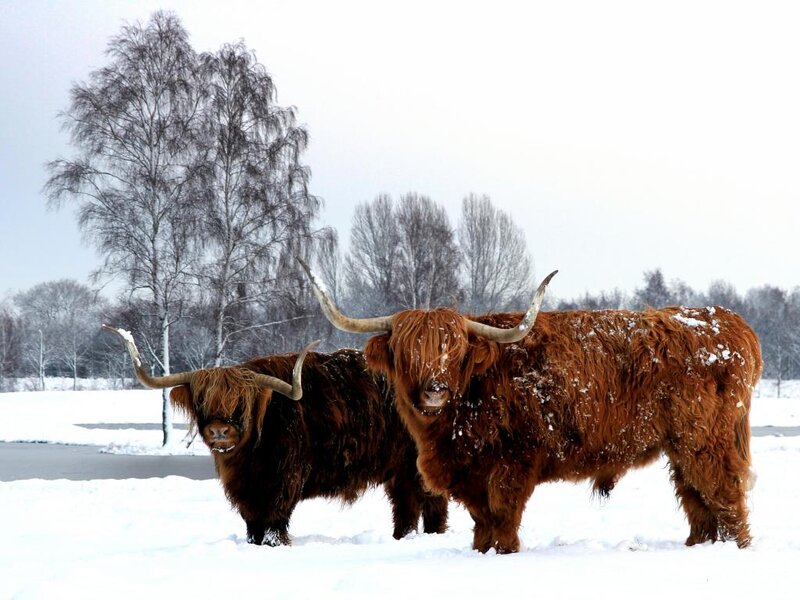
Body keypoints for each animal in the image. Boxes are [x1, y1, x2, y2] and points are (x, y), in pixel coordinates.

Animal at [102, 325, 448, 546]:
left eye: (241, 402)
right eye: (202, 400)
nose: (219, 431)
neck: (249, 456)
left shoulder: (284, 479)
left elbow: (274, 520)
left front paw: (275, 544)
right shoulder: (244, 491)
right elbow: (252, 523)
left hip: (417, 467)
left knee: (431, 502)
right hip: (398, 471)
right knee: (406, 505)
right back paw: (402, 538)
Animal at [299, 260, 762, 554]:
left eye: (454, 352)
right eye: (408, 351)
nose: (434, 389)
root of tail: (730, 323)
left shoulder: (513, 462)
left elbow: (503, 518)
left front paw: (503, 554)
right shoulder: (471, 473)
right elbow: (481, 521)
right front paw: (480, 552)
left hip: (706, 441)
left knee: (725, 494)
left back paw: (736, 550)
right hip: (682, 448)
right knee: (697, 502)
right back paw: (698, 547)